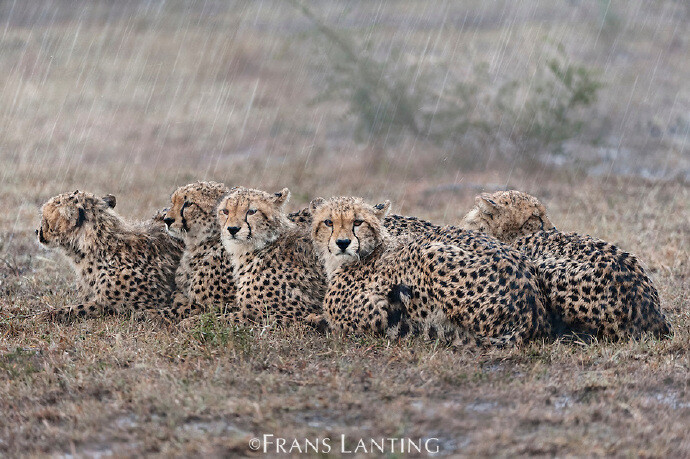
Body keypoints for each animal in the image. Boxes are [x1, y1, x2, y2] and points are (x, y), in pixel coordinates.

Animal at [310, 196, 552, 346]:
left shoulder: (370, 311)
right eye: (328, 222)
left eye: (358, 222)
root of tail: (533, 315)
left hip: (431, 252)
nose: (343, 243)